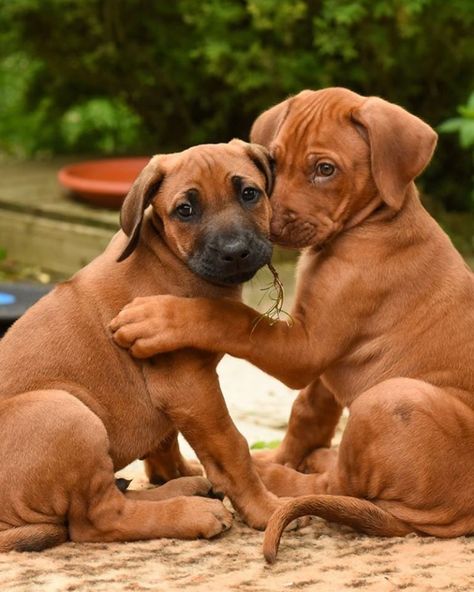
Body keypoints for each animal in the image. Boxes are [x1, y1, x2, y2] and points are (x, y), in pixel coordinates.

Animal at [0, 139, 286, 552]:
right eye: (185, 210)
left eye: (249, 193)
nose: (235, 251)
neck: (169, 259)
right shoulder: (190, 385)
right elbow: (232, 446)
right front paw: (268, 508)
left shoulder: (178, 395)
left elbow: (167, 441)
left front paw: (179, 472)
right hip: (66, 412)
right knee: (97, 520)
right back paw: (192, 512)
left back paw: (184, 488)